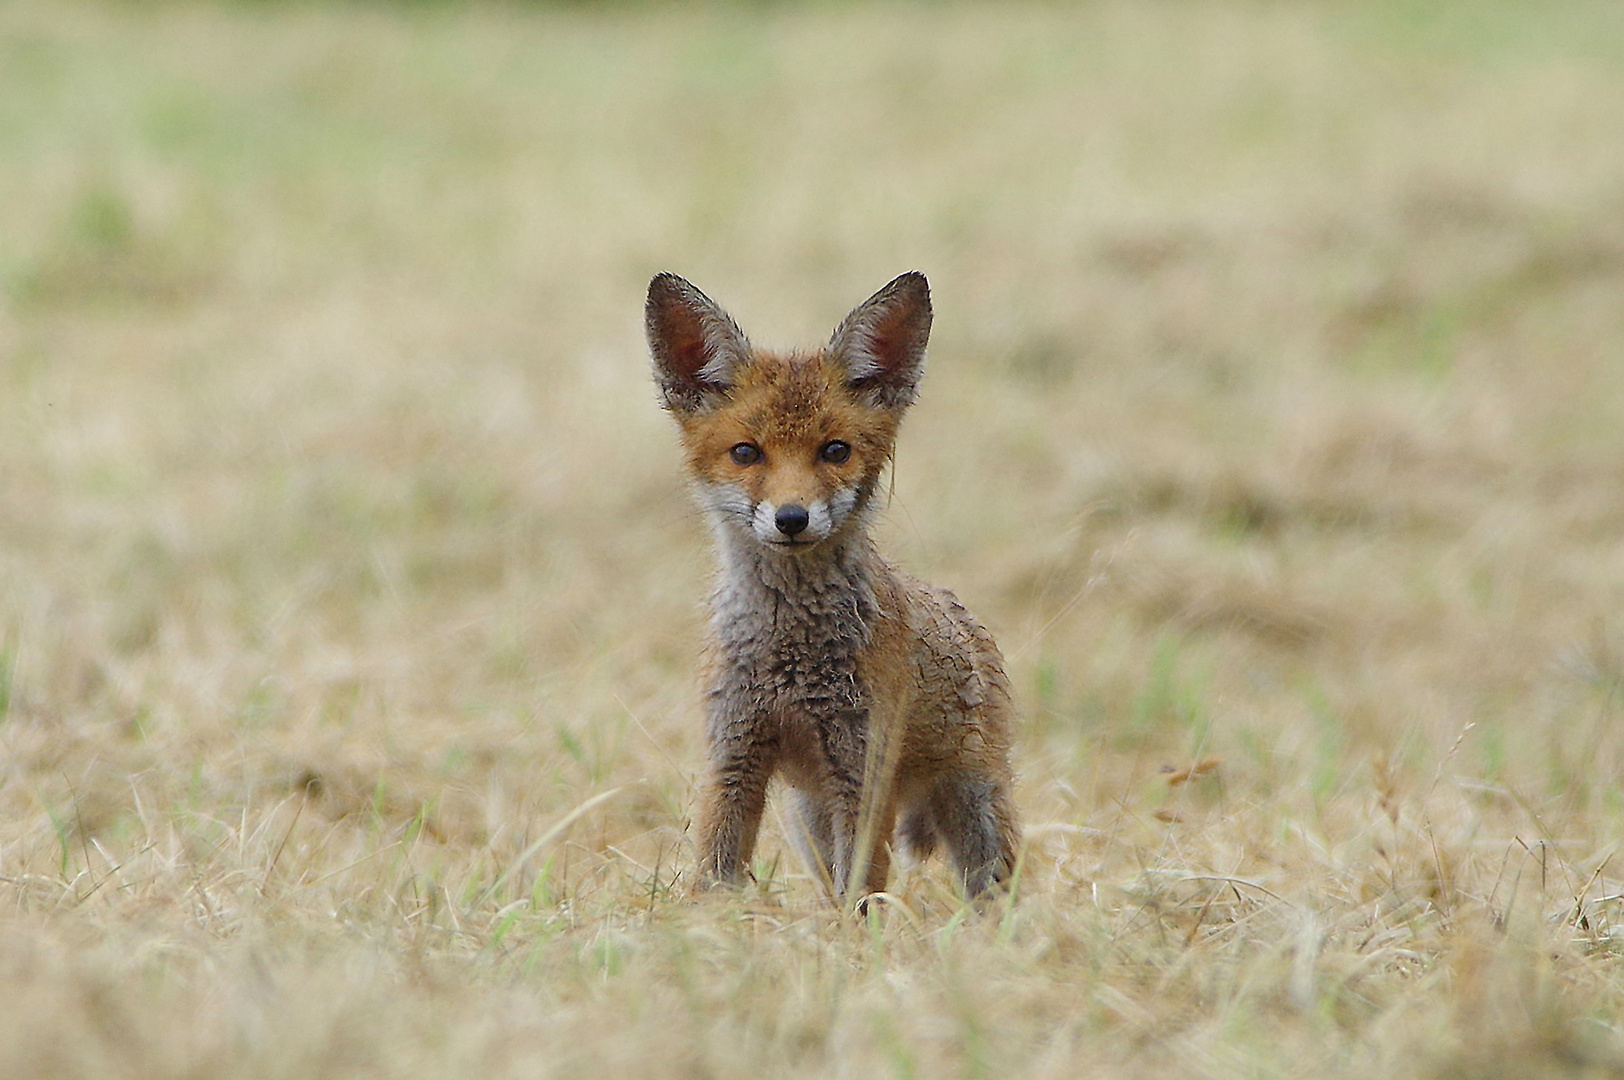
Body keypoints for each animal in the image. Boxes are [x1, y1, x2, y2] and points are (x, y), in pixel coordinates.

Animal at [643, 269, 1013, 902]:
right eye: (746, 452)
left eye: (835, 450)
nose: (792, 518)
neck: (789, 657)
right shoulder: (733, 758)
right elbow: (715, 882)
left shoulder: (861, 772)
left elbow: (860, 898)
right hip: (807, 818)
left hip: (975, 812)